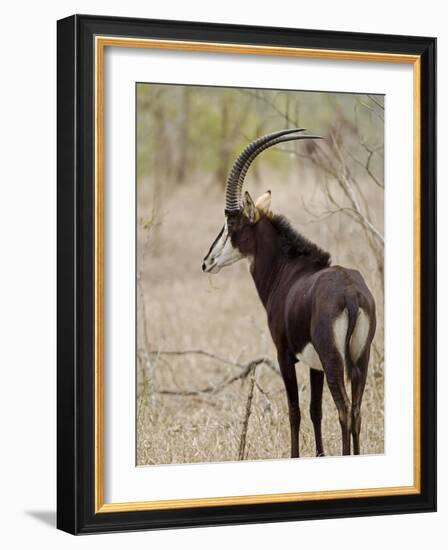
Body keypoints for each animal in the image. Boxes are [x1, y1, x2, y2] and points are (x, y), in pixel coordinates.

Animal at [202, 128, 374, 458]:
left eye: (231, 222)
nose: (207, 262)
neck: (289, 270)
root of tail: (351, 295)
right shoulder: (314, 364)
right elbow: (315, 410)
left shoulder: (285, 355)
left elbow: (294, 411)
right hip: (360, 359)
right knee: (357, 411)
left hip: (334, 360)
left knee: (345, 410)